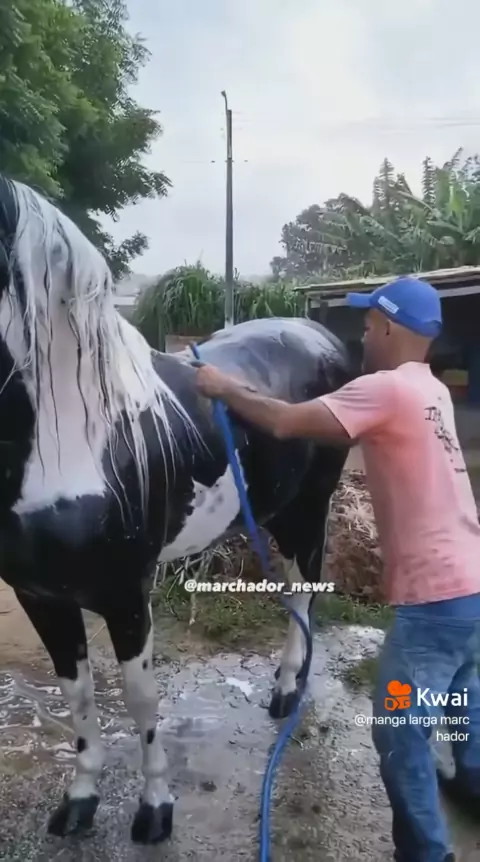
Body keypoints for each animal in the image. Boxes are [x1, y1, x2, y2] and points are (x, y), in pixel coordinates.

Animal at [0, 174, 353, 844]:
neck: (73, 438)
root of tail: (322, 335)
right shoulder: (41, 596)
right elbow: (78, 696)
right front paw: (80, 801)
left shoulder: (125, 594)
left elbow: (140, 698)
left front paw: (155, 809)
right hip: (271, 512)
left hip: (308, 509)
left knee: (303, 589)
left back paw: (286, 691)